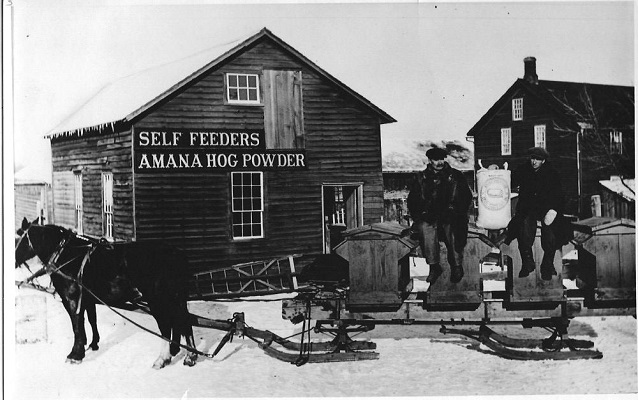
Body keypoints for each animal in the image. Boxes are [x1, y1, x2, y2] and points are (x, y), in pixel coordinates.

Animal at [15, 219, 200, 368]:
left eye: (17, 239)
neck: (66, 254)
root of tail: (177, 254)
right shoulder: (88, 299)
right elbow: (90, 320)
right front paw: (92, 344)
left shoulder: (72, 299)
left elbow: (76, 325)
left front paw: (75, 354)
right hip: (175, 298)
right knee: (183, 321)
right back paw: (187, 355)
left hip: (159, 300)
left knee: (167, 325)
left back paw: (163, 358)